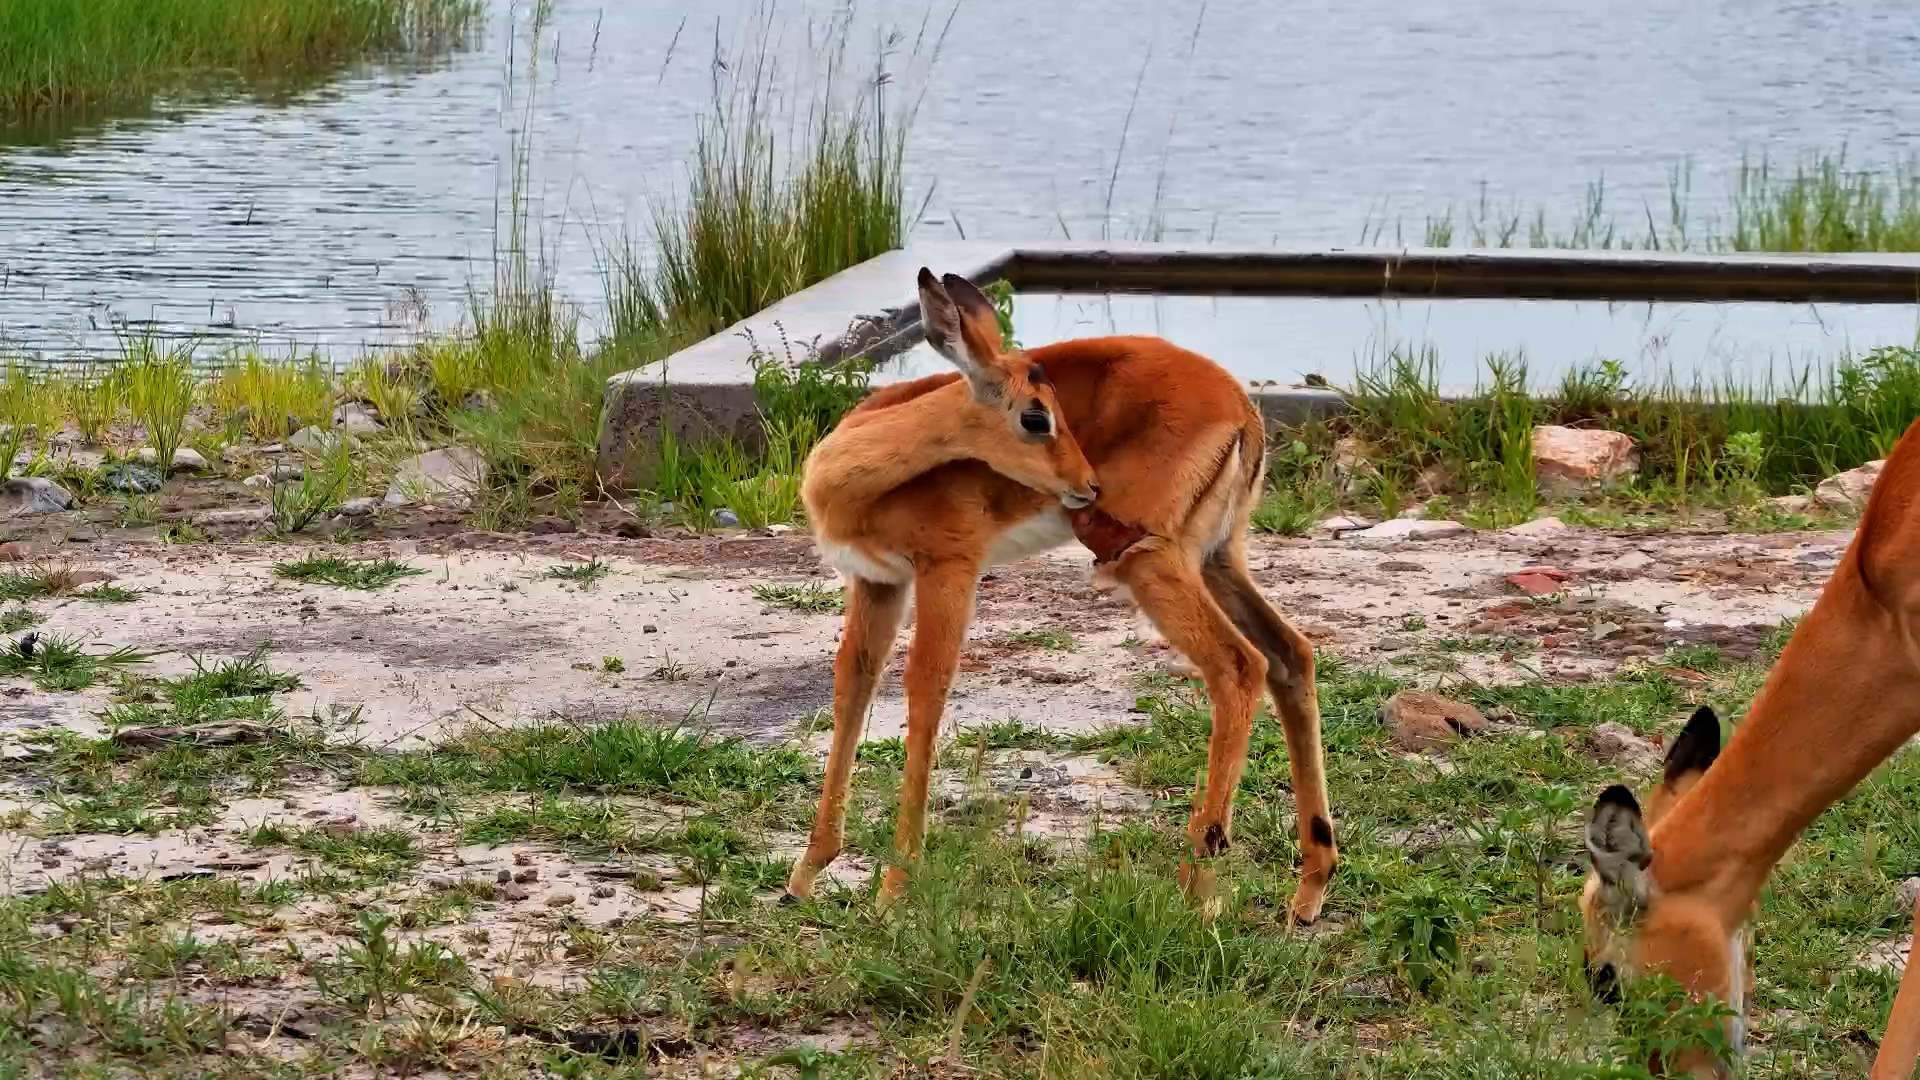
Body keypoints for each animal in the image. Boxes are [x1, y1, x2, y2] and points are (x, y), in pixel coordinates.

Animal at [784, 268, 1336, 923]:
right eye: (1035, 417)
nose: (1086, 484)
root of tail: (1241, 408)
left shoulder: (948, 570)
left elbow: (926, 687)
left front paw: (896, 886)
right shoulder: (877, 580)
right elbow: (854, 685)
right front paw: (805, 874)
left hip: (1147, 563)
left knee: (1239, 666)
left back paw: (1197, 888)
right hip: (1216, 558)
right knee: (1290, 655)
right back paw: (1309, 889)